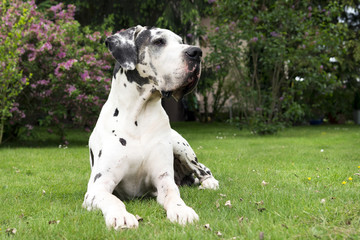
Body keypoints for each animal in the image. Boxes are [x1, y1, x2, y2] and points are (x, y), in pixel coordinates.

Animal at [83, 25, 219, 229]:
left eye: (181, 41)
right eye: (159, 41)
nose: (196, 52)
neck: (138, 115)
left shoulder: (164, 180)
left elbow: (173, 195)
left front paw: (181, 210)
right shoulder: (98, 187)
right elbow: (112, 200)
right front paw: (120, 215)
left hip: (181, 147)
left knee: (203, 170)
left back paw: (209, 183)